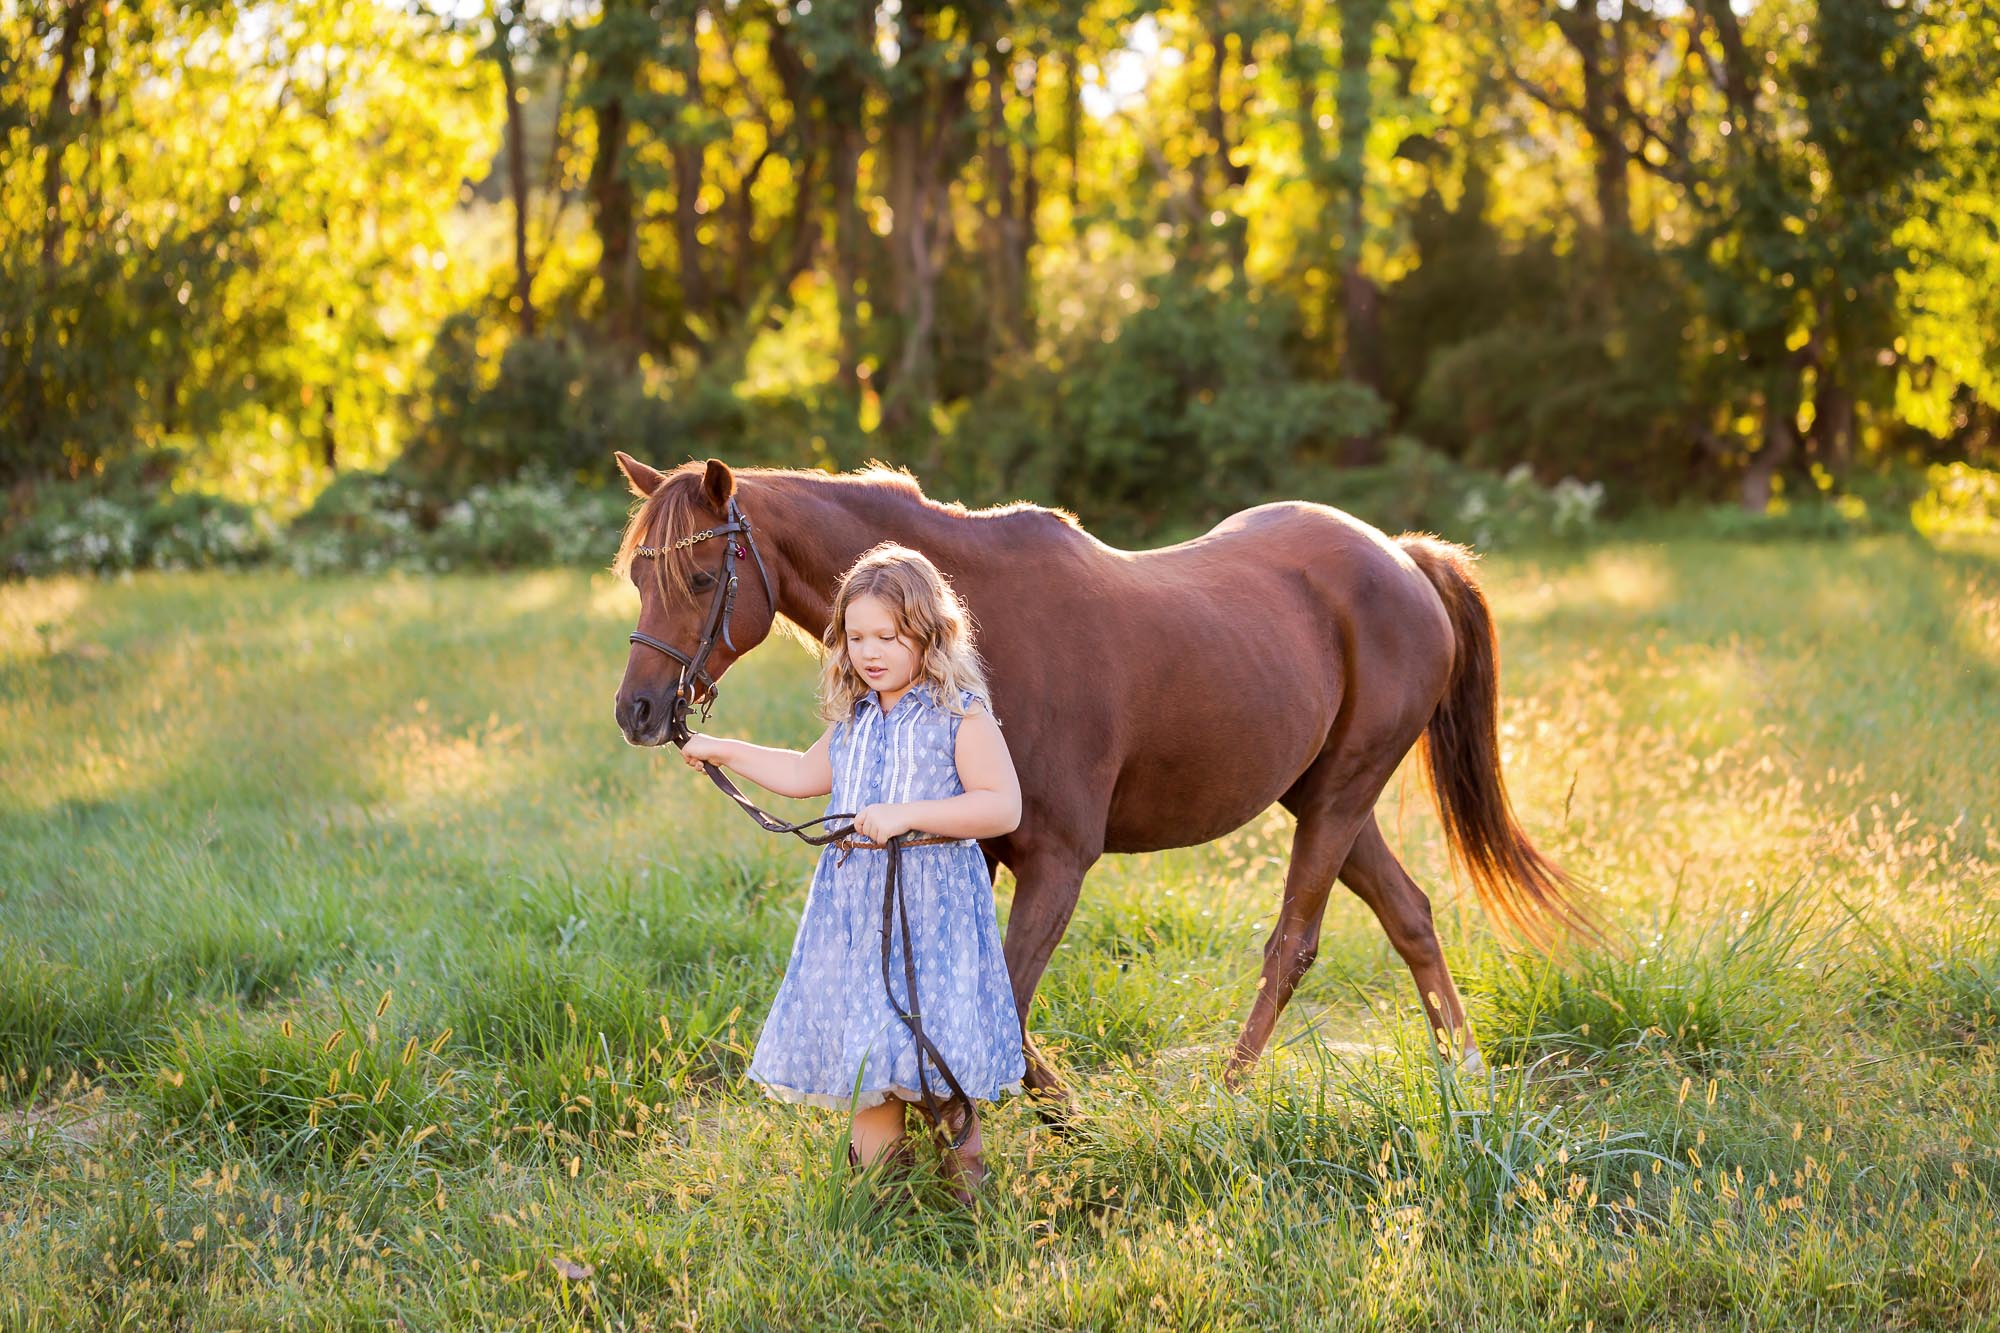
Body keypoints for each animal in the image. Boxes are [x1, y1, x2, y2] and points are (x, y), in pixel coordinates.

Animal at [609, 454, 1589, 1112]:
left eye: (701, 574)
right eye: (637, 574)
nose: (640, 710)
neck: (978, 629)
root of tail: (1402, 555)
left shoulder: (1058, 861)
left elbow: (1001, 1000)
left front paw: (1055, 1123)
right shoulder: (970, 849)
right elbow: (981, 1002)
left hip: (1342, 794)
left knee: (1293, 945)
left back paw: (1227, 1097)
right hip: (1324, 797)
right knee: (1410, 915)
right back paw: (1465, 1074)